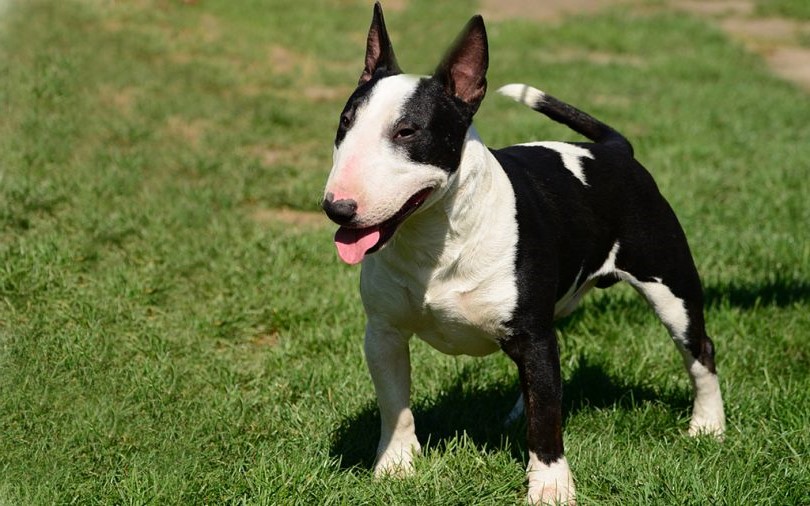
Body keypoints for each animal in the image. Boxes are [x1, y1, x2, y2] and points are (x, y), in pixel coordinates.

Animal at [320, 2, 724, 502]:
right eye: (345, 123)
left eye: (407, 131)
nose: (336, 208)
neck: (435, 240)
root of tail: (614, 149)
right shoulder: (384, 333)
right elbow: (396, 404)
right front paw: (395, 468)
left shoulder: (533, 337)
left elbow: (546, 419)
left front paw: (550, 486)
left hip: (669, 284)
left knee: (699, 349)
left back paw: (708, 426)